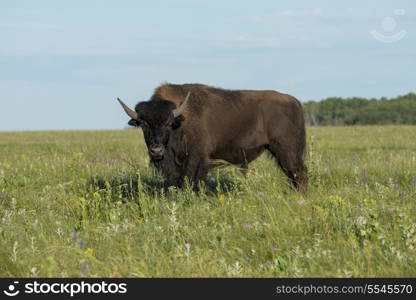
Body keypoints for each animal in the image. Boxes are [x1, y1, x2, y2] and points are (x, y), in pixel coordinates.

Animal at [118, 83, 308, 191]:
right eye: (143, 124)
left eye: (168, 123)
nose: (156, 150)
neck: (182, 120)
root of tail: (295, 101)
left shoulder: (195, 157)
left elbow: (188, 179)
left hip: (286, 150)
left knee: (298, 172)